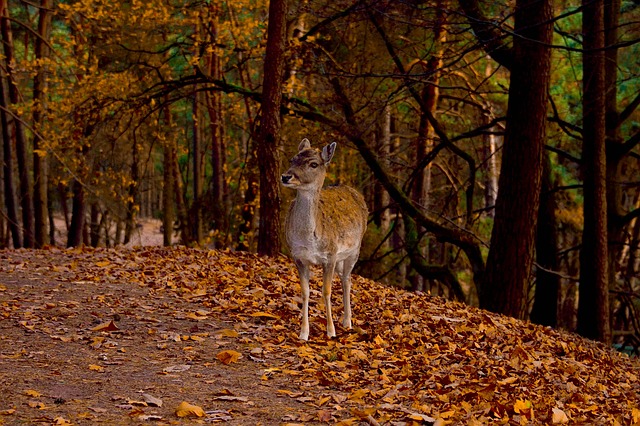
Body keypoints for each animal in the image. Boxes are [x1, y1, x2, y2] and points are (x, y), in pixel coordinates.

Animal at [282, 138, 368, 342]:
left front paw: (331, 331)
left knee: (347, 280)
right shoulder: (298, 257)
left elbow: (326, 291)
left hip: (354, 251)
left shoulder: (330, 255)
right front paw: (303, 333)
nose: (286, 177)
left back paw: (347, 322)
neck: (309, 238)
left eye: (313, 164)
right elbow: (305, 292)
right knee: (344, 278)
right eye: (292, 159)